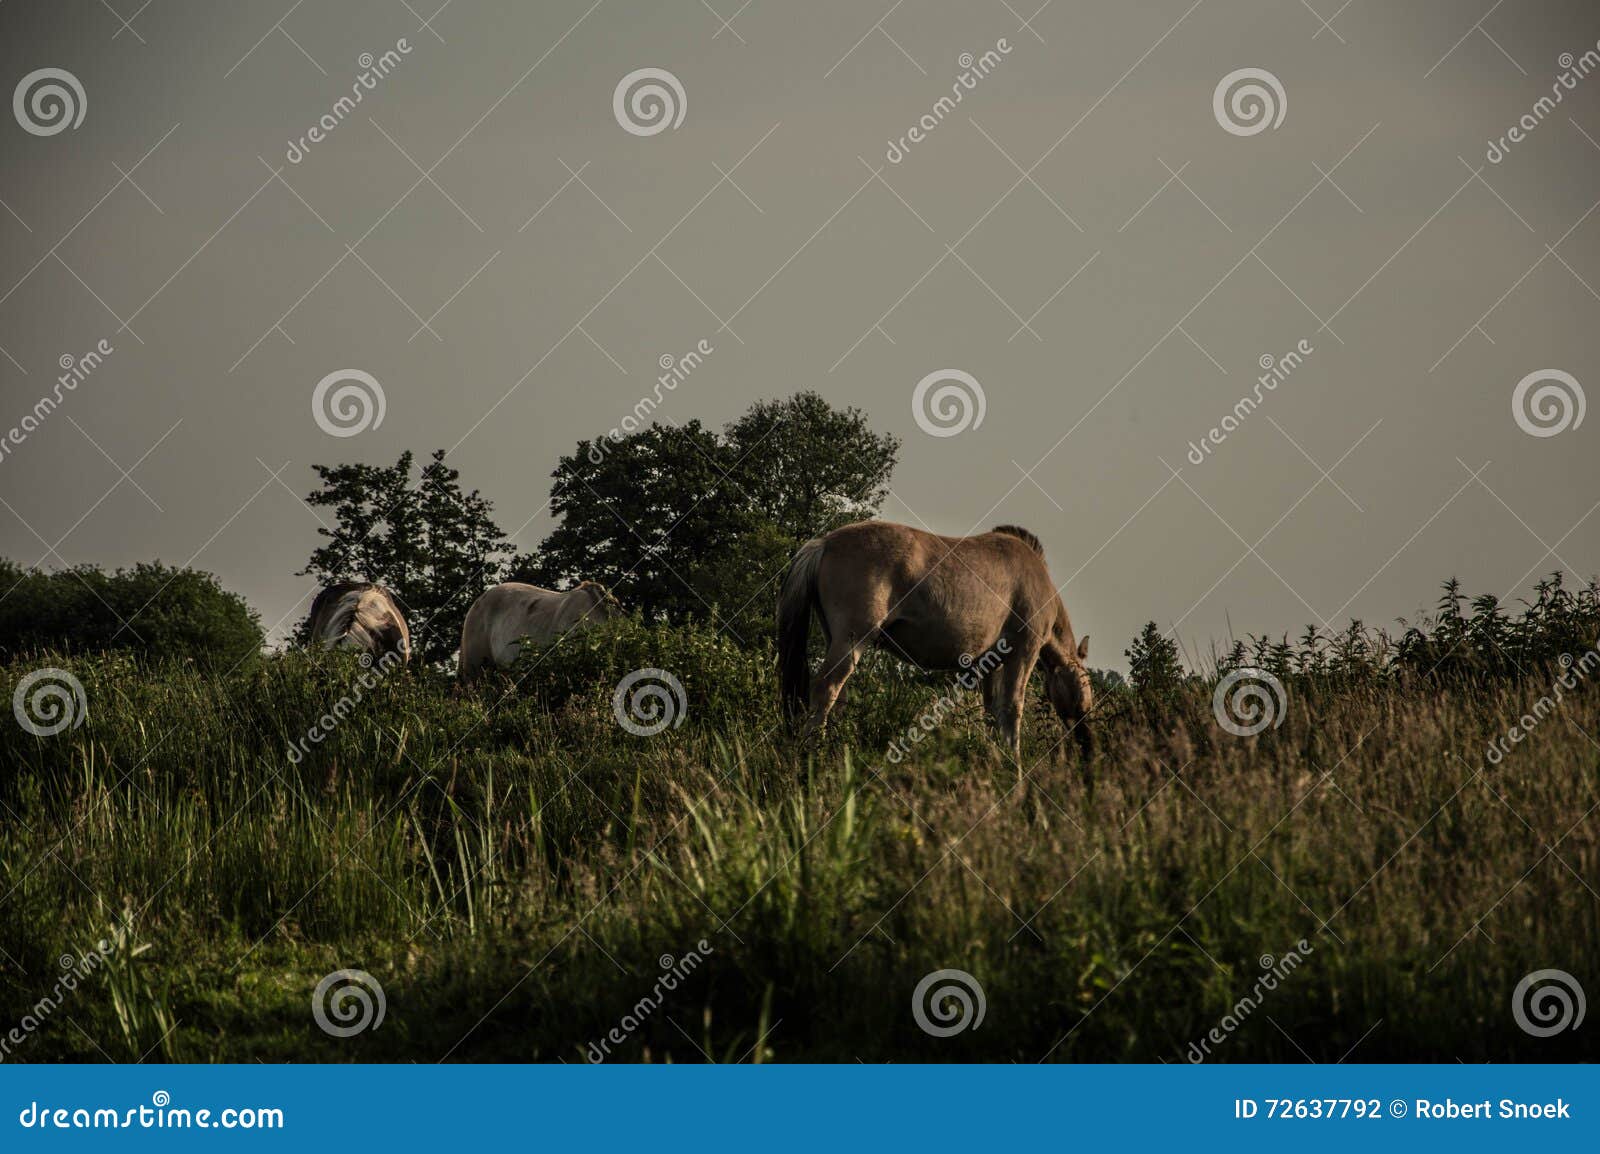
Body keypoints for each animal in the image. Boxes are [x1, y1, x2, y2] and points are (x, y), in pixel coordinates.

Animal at [771, 518, 1088, 761]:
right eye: (1084, 690)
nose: (1086, 742)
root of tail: (824, 543)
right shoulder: (1023, 653)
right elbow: (1011, 710)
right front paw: (1015, 765)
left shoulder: (989, 665)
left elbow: (991, 713)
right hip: (851, 642)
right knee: (825, 689)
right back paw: (814, 756)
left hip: (836, 641)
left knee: (838, 696)